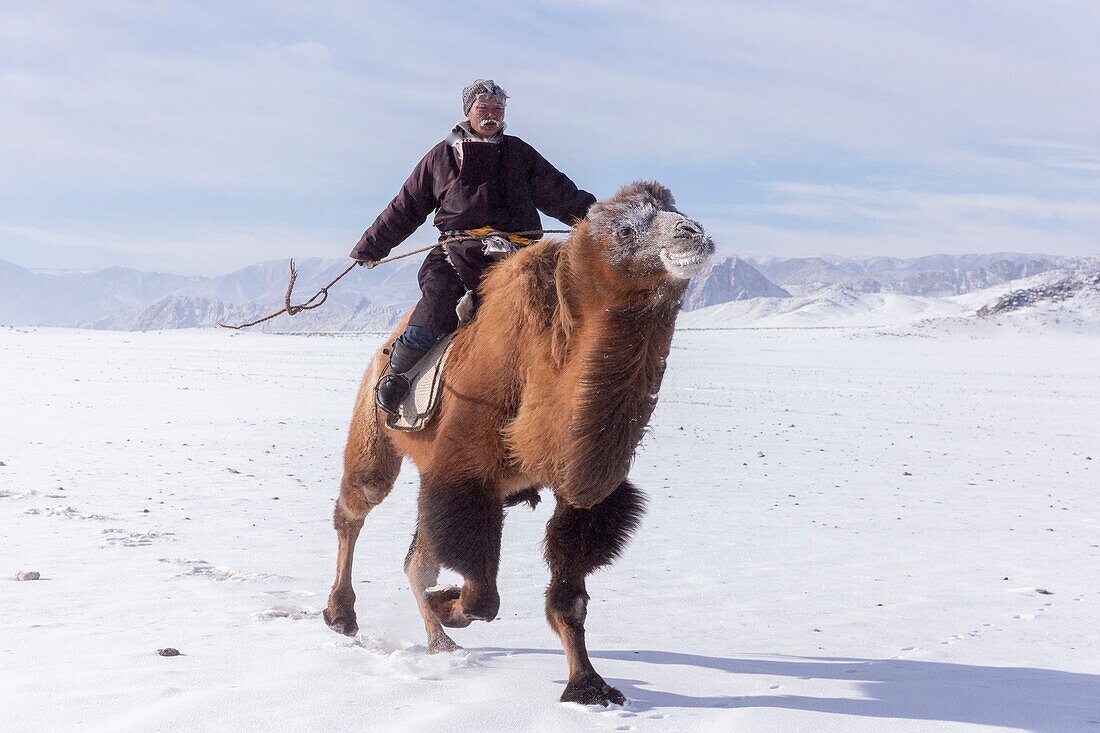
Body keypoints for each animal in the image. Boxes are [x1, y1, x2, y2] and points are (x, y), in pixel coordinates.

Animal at [321, 178, 717, 704]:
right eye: (626, 229)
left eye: (674, 209)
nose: (693, 234)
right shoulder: (464, 472)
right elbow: (483, 595)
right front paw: (449, 605)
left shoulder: (582, 492)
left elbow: (569, 598)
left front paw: (589, 686)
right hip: (375, 428)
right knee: (356, 508)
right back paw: (344, 616)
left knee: (415, 560)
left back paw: (440, 643)